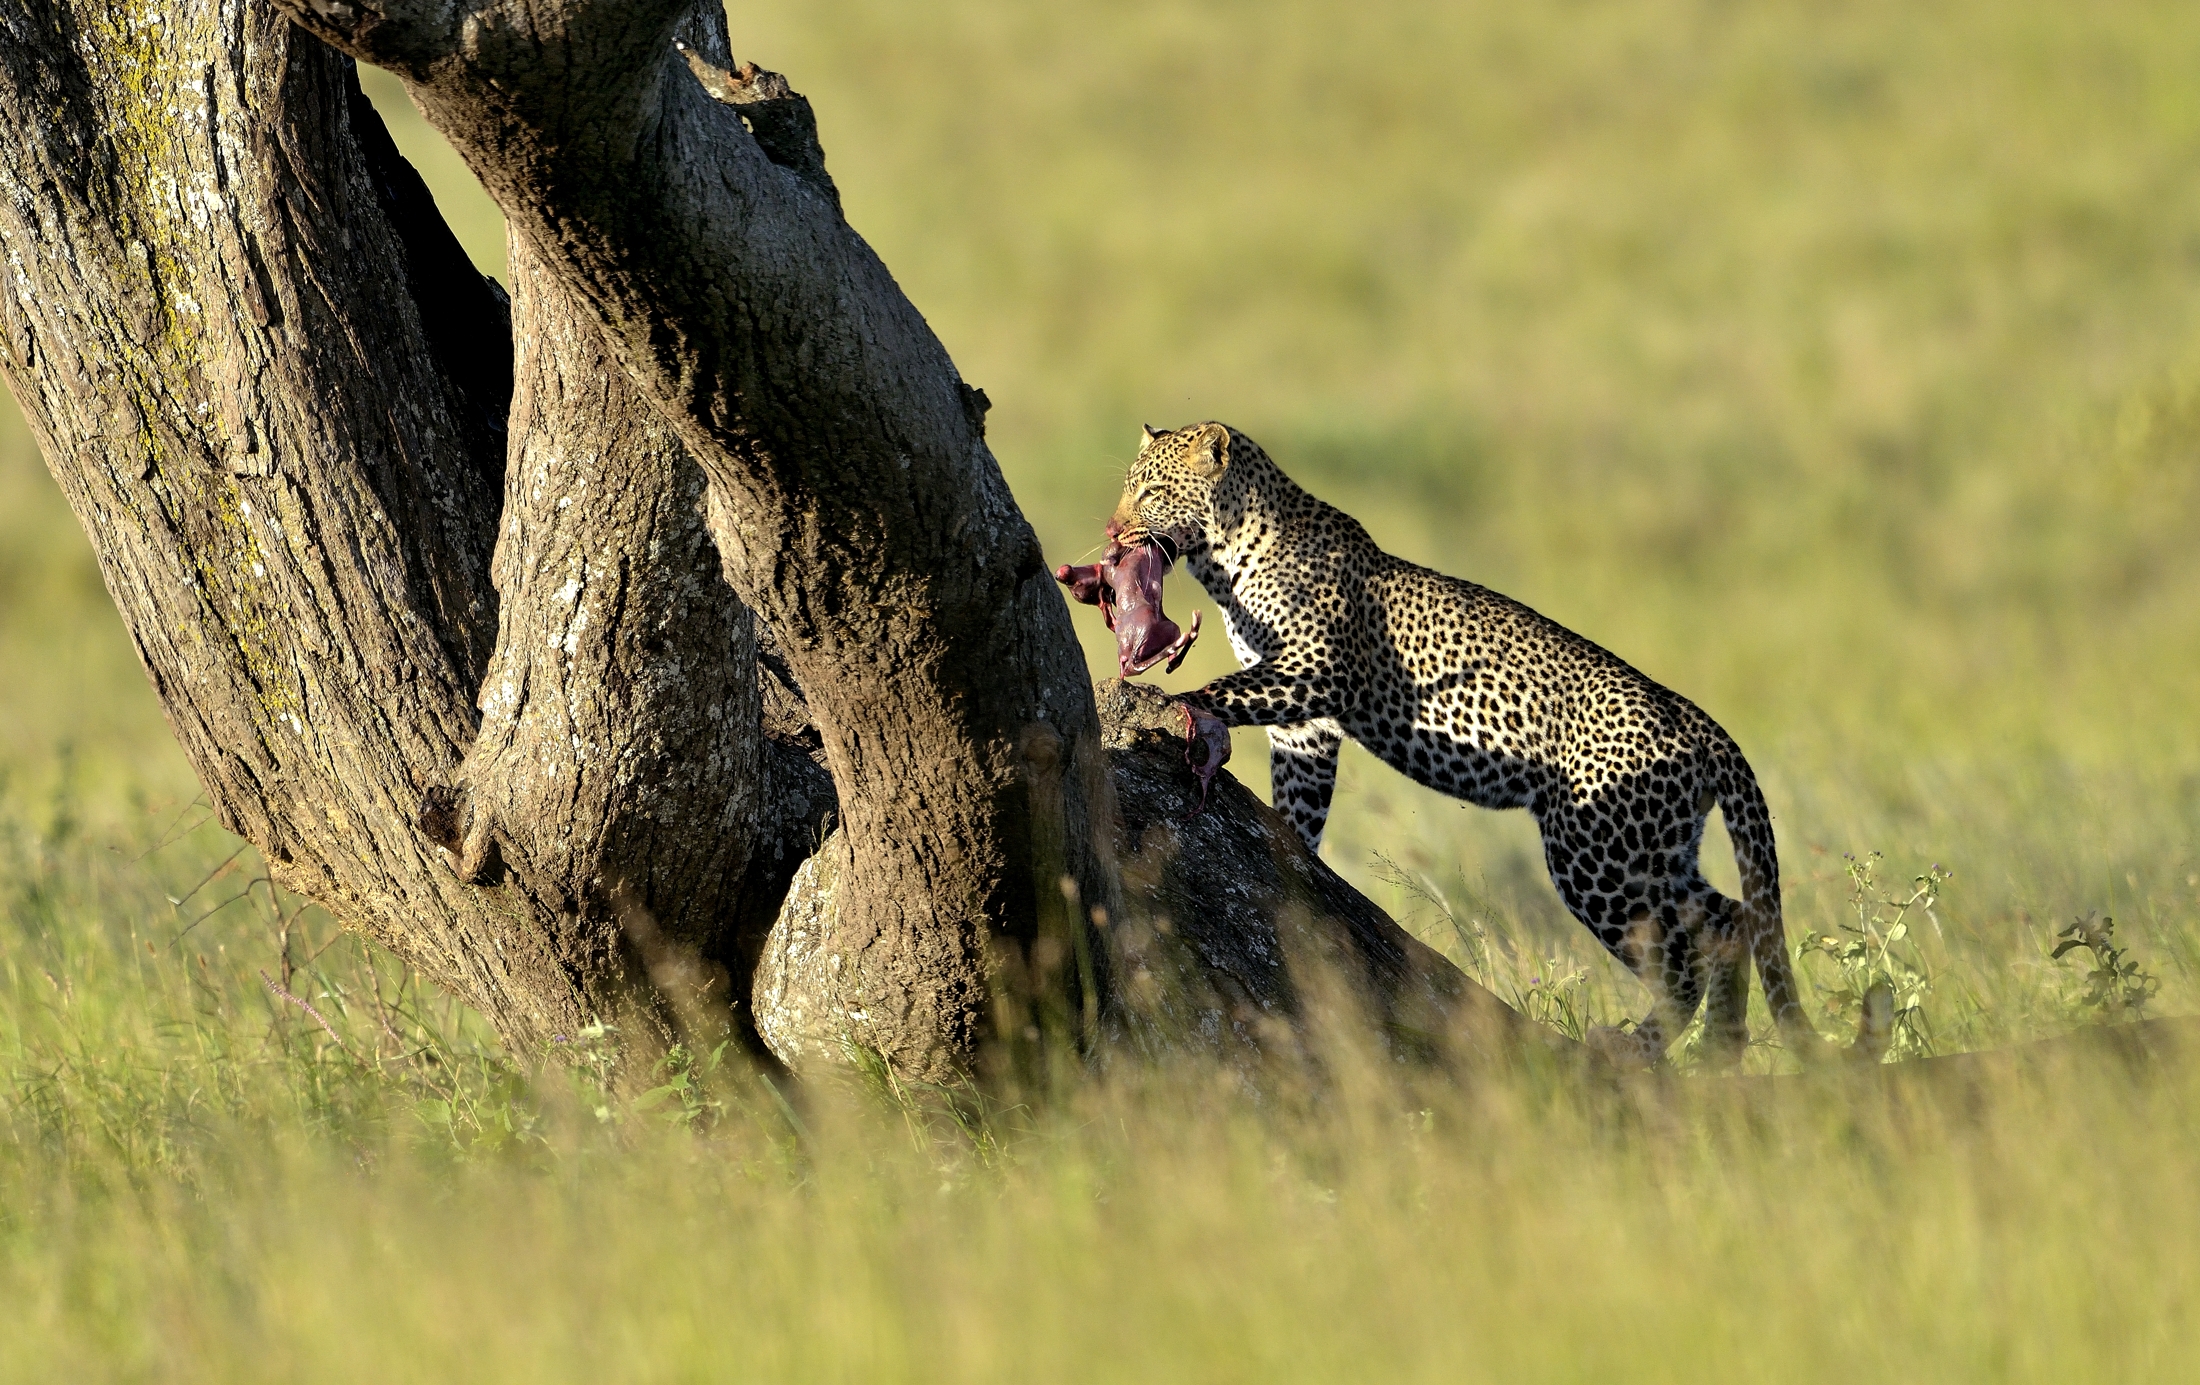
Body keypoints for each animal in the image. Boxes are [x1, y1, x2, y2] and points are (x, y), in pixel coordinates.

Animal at [1104, 420, 1830, 1068]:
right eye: (1127, 488)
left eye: (1150, 491)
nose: (1112, 533)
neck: (1228, 556)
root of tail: (1695, 718)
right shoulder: (1303, 726)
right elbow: (1298, 803)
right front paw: (1293, 855)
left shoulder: (1316, 672)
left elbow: (1219, 689)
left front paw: (1160, 702)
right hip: (1655, 848)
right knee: (1731, 919)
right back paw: (1720, 1049)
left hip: (1599, 853)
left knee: (1684, 955)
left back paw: (1641, 1048)